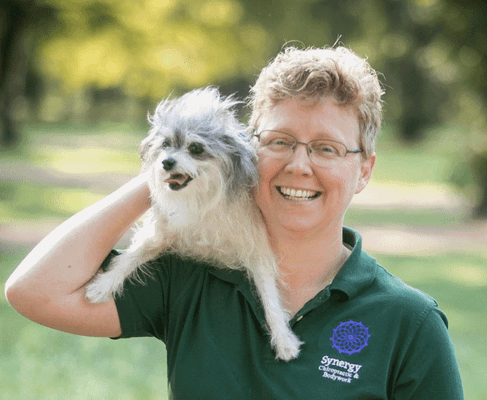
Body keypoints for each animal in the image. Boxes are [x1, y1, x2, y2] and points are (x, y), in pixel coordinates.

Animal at [86, 88, 304, 362]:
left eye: (196, 148)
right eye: (166, 144)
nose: (166, 162)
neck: (203, 199)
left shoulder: (257, 250)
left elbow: (270, 296)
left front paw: (284, 339)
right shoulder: (162, 233)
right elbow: (130, 258)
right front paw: (103, 285)